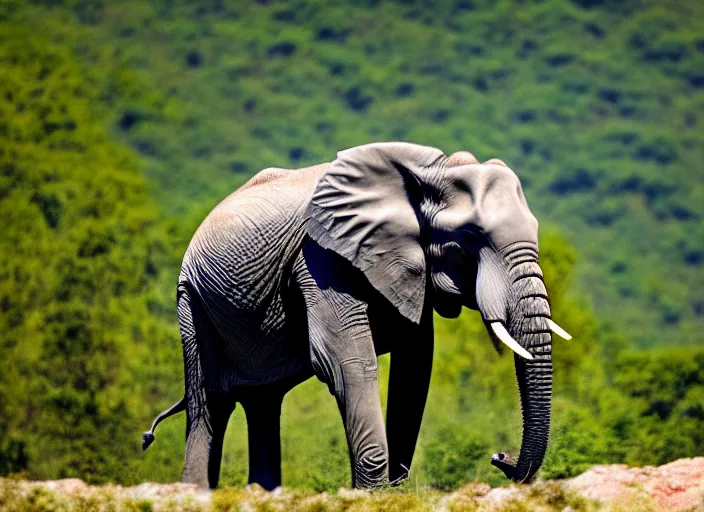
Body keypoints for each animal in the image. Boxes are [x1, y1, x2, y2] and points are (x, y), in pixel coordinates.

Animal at [143, 142, 572, 490]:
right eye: (470, 237)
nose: (500, 457)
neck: (430, 173)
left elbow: (415, 367)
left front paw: (391, 490)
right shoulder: (318, 258)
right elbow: (345, 361)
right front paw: (372, 493)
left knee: (262, 402)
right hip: (191, 302)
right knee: (209, 404)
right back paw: (195, 491)